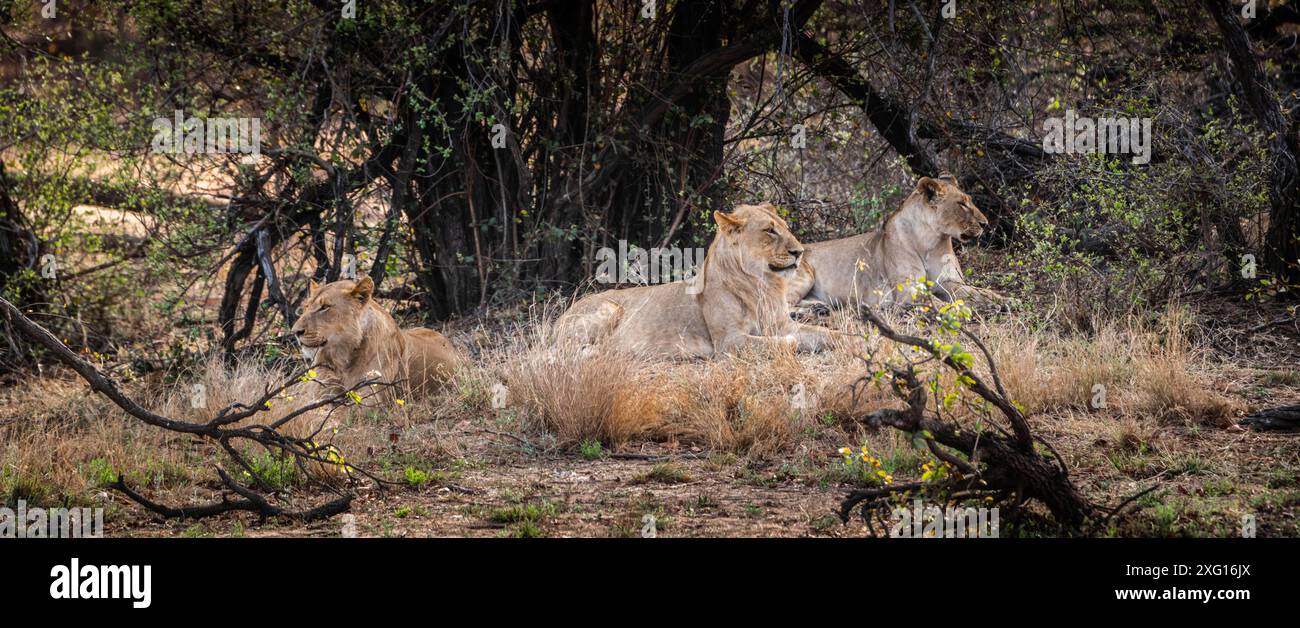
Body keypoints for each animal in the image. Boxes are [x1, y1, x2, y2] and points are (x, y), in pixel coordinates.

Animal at [291, 276, 463, 401]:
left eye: (325, 307)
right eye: (306, 307)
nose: (295, 332)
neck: (341, 361)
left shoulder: (369, 403)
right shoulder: (316, 396)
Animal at [553, 203, 847, 358]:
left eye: (785, 227)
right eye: (769, 231)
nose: (800, 251)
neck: (762, 284)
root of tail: (559, 316)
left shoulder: (783, 324)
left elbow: (828, 334)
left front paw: (855, 342)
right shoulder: (728, 342)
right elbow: (778, 343)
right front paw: (789, 343)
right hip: (608, 309)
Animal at [785, 175, 1008, 313]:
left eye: (969, 200)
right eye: (961, 204)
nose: (985, 223)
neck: (930, 240)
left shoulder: (948, 282)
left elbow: (982, 293)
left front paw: (1005, 302)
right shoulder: (909, 290)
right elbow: (944, 305)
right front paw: (966, 310)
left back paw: (818, 308)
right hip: (804, 274)